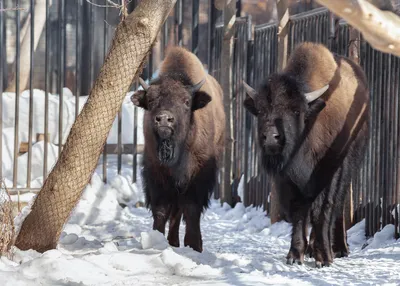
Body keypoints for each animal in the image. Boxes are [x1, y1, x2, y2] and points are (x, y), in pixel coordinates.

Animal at [131, 45, 225, 252]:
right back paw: (172, 241)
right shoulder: (156, 173)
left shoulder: (198, 175)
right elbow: (161, 209)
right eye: (151, 101)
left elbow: (191, 209)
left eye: (186, 101)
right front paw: (156, 239)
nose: (164, 119)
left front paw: (194, 245)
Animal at [242, 42, 370, 268]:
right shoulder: (288, 179)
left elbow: (324, 208)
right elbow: (299, 211)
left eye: (295, 111)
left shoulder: (331, 172)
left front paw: (324, 257)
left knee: (339, 204)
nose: (271, 137)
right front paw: (295, 255)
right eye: (261, 110)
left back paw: (339, 248)